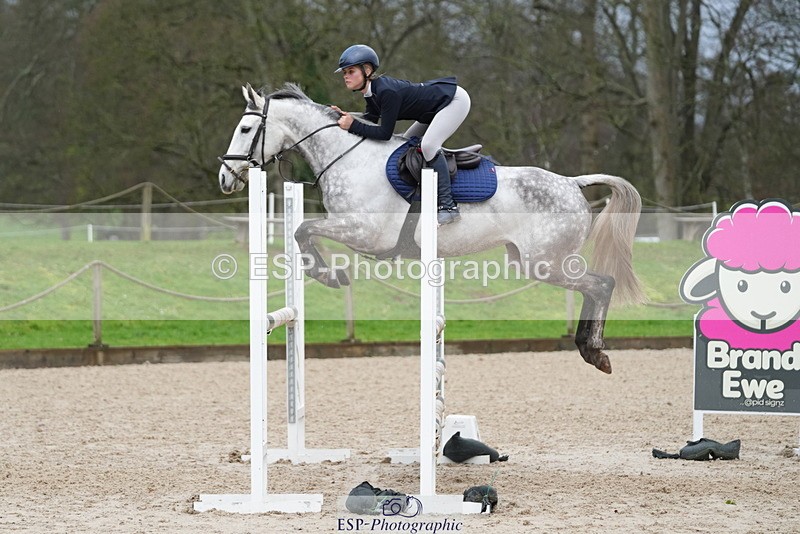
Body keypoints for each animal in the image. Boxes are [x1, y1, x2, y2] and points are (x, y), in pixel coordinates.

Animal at [218, 83, 646, 374]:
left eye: (245, 130)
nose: (225, 177)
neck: (347, 157)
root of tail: (572, 182)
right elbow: (303, 232)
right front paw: (329, 273)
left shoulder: (363, 232)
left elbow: (303, 230)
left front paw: (330, 275)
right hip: (529, 260)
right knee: (594, 286)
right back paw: (591, 349)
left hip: (545, 262)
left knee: (600, 284)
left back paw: (594, 351)